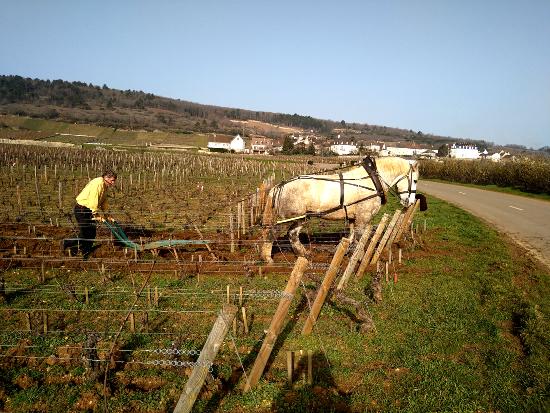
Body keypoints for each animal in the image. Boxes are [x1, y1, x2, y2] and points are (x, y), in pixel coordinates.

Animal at [260, 156, 430, 262]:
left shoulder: (354, 218)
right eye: (415, 180)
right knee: (272, 233)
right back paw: (267, 258)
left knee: (292, 234)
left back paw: (304, 254)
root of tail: (279, 186)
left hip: (301, 218)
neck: (372, 180)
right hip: (290, 218)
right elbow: (360, 237)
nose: (410, 201)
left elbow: (353, 237)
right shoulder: (363, 217)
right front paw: (359, 257)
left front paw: (349, 254)